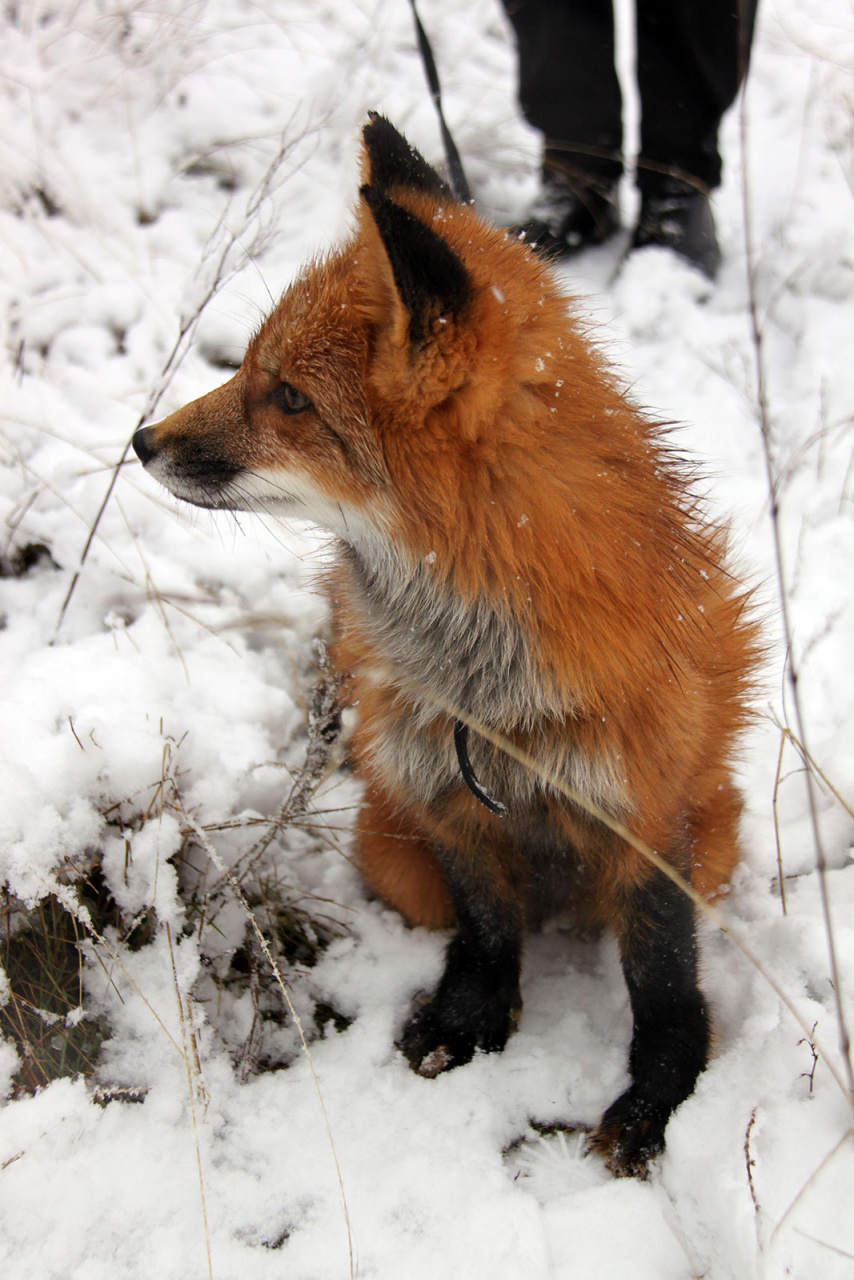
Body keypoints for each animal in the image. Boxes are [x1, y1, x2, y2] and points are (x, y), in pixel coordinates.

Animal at [133, 115, 763, 1172]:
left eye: (289, 397)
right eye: (247, 368)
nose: (141, 440)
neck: (485, 678)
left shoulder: (644, 816)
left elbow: (664, 978)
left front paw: (657, 1101)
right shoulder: (442, 791)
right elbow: (489, 929)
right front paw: (472, 1019)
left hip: (715, 837)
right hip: (387, 846)